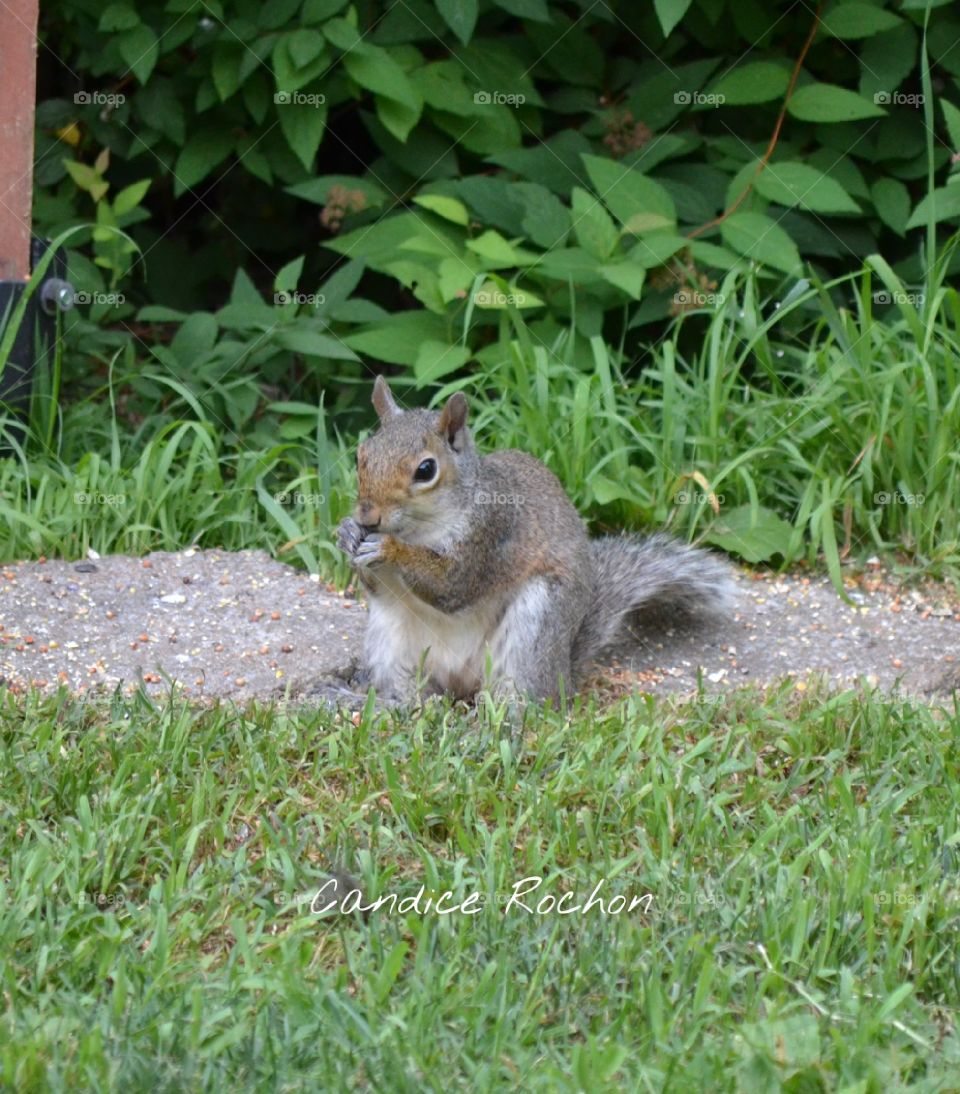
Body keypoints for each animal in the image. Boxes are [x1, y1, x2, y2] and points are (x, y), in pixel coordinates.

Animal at [337, 376, 735, 702]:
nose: (368, 516)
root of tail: (564, 675)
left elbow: (453, 586)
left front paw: (390, 549)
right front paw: (347, 533)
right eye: (360, 456)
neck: (420, 529)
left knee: (529, 699)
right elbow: (376, 585)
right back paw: (391, 702)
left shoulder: (492, 533)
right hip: (390, 640)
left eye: (426, 469)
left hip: (536, 625)